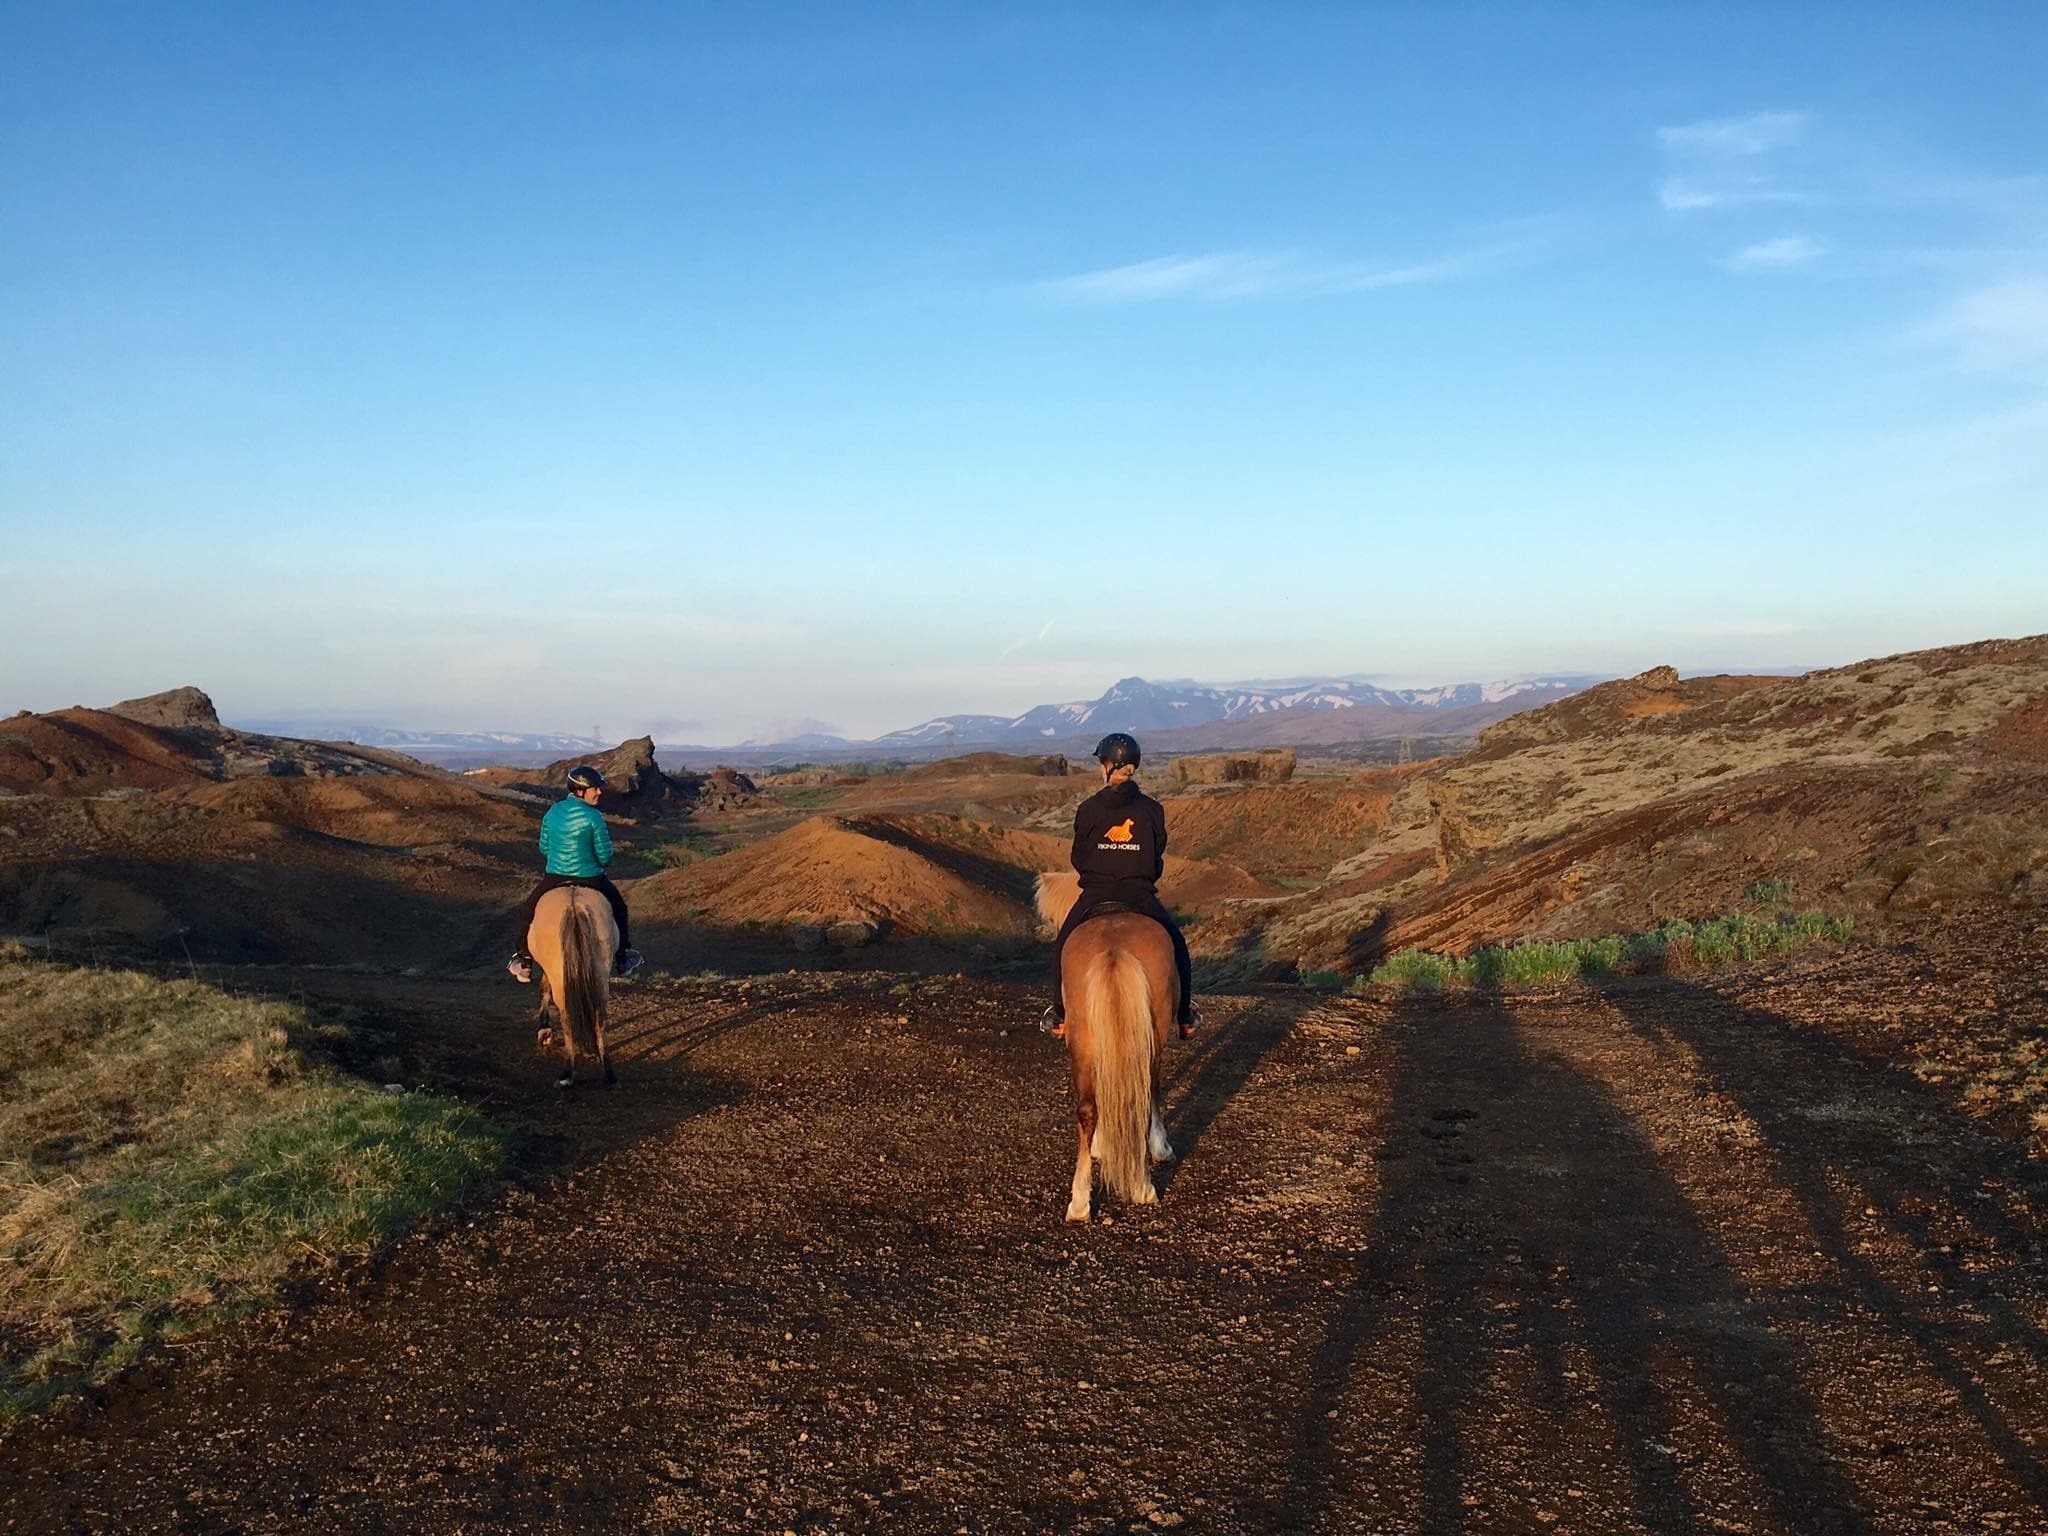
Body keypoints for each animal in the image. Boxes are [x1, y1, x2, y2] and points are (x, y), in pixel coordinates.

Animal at [527, 886, 618, 1091]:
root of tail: (574, 906)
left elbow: (543, 988)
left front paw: (544, 1031)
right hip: (600, 972)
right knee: (600, 1018)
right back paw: (608, 1072)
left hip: (559, 974)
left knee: (567, 1018)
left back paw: (567, 1073)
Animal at [1035, 872, 1178, 1222]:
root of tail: (1114, 949)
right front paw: (1161, 1147)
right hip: (1151, 1034)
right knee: (1140, 1096)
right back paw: (1142, 1186)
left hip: (1084, 1042)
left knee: (1087, 1109)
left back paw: (1079, 1203)